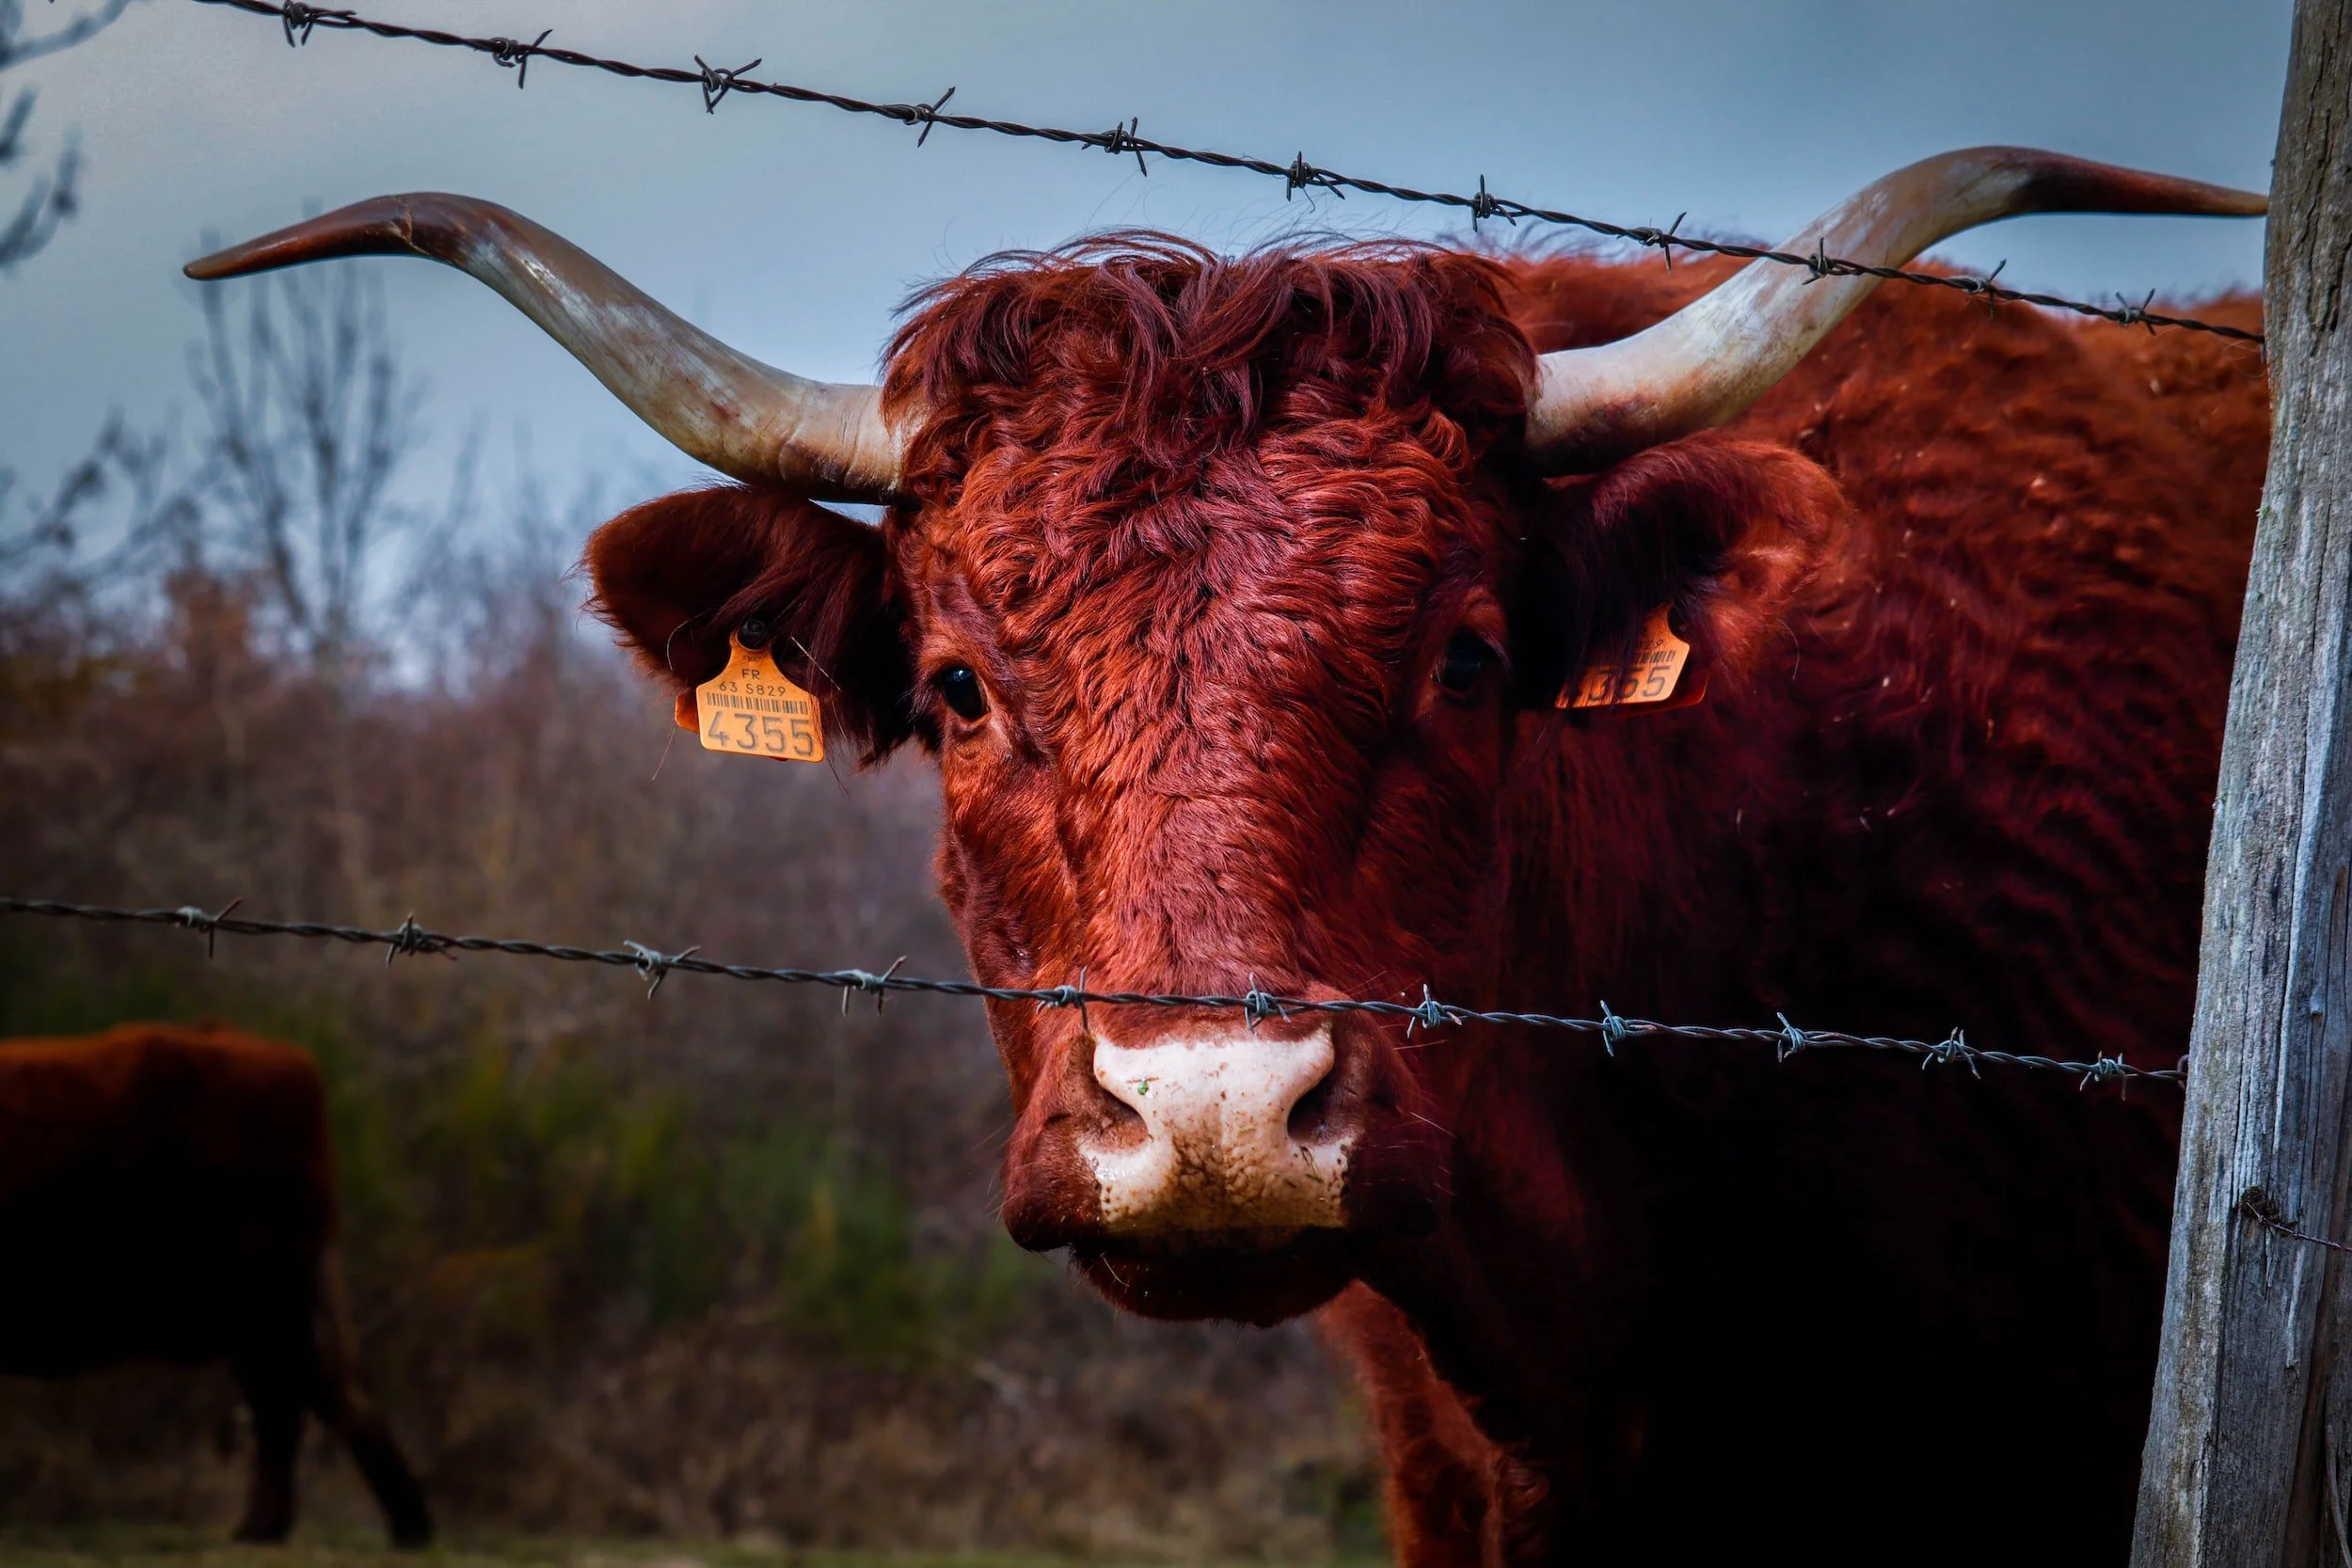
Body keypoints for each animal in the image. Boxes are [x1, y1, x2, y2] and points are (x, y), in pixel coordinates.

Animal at [0, 1023, 432, 1547]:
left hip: (262, 1307)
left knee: (285, 1408)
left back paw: (268, 1527)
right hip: (275, 1309)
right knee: (335, 1397)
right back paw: (400, 1525)